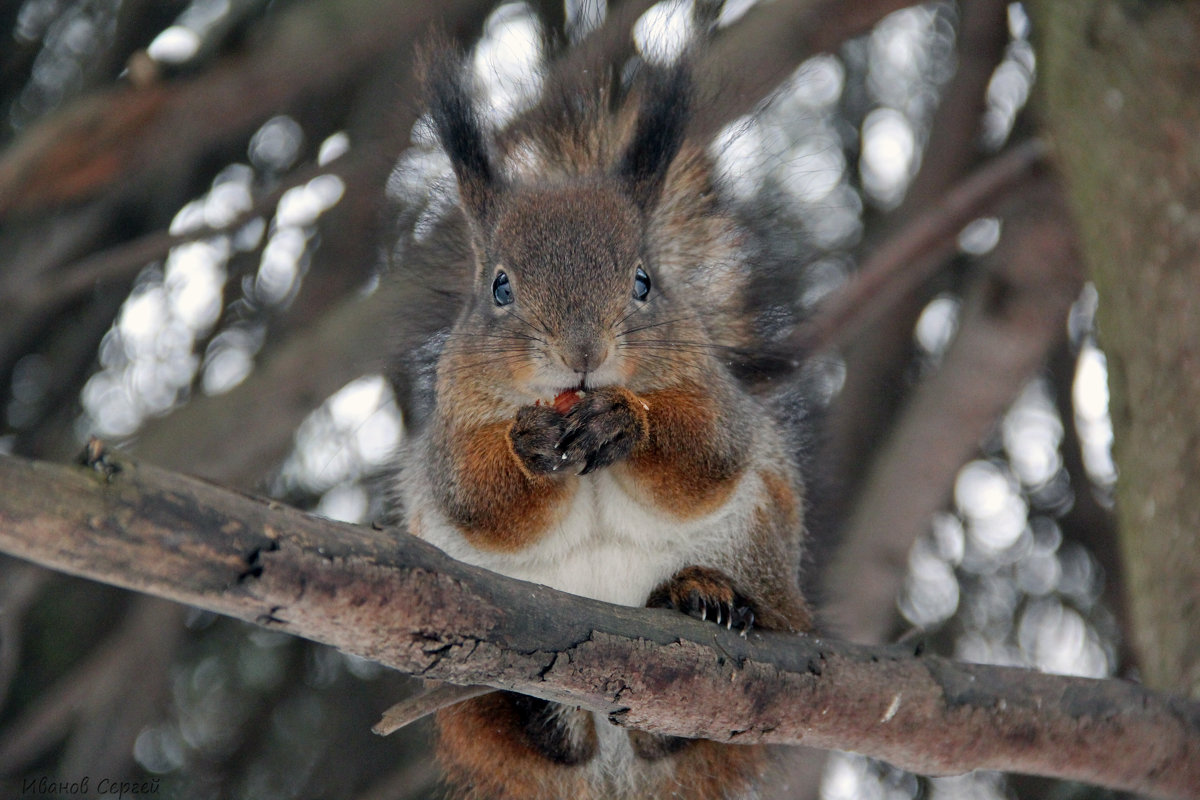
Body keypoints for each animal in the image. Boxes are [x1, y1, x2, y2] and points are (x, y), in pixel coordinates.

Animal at [388, 14, 820, 800]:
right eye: (499, 288)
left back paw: (703, 598)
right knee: (536, 737)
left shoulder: (716, 399)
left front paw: (628, 423)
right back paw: (534, 704)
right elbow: (477, 497)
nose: (582, 353)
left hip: (762, 551)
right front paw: (527, 446)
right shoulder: (450, 434)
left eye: (644, 281)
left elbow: (706, 455)